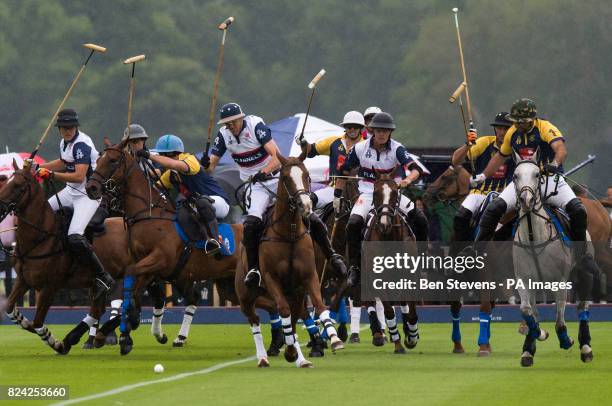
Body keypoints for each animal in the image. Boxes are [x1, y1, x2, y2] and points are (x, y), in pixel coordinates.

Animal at [86, 140, 244, 356]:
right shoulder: (151, 268)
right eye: (98, 159)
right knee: (194, 298)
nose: (91, 187)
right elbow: (134, 293)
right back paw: (179, 337)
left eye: (112, 160)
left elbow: (131, 281)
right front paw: (122, 332)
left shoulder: (159, 260)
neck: (149, 215)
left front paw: (123, 332)